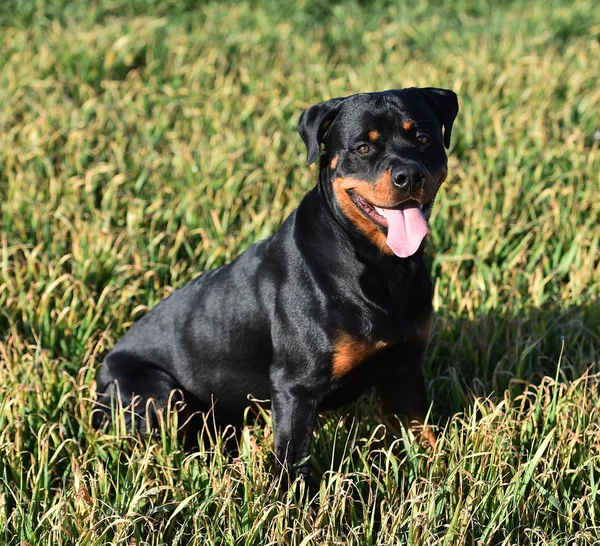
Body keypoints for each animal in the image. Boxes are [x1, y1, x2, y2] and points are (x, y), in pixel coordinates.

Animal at [92, 86, 460, 476]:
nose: (409, 175)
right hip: (157, 394)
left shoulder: (404, 370)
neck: (380, 266)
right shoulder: (296, 387)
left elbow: (424, 434)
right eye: (363, 147)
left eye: (423, 139)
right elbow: (292, 462)